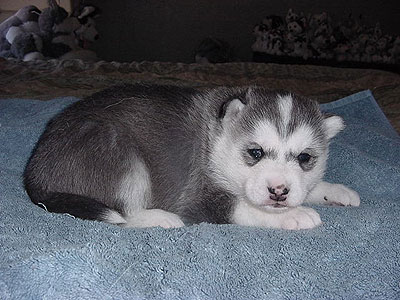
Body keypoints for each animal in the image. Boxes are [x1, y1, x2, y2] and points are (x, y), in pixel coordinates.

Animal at [25, 84, 362, 230]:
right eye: (255, 152)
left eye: (305, 158)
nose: (278, 191)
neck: (216, 140)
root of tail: (34, 170)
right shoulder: (198, 199)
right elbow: (243, 207)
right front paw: (293, 215)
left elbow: (310, 187)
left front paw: (336, 191)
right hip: (119, 153)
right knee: (124, 213)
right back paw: (159, 219)